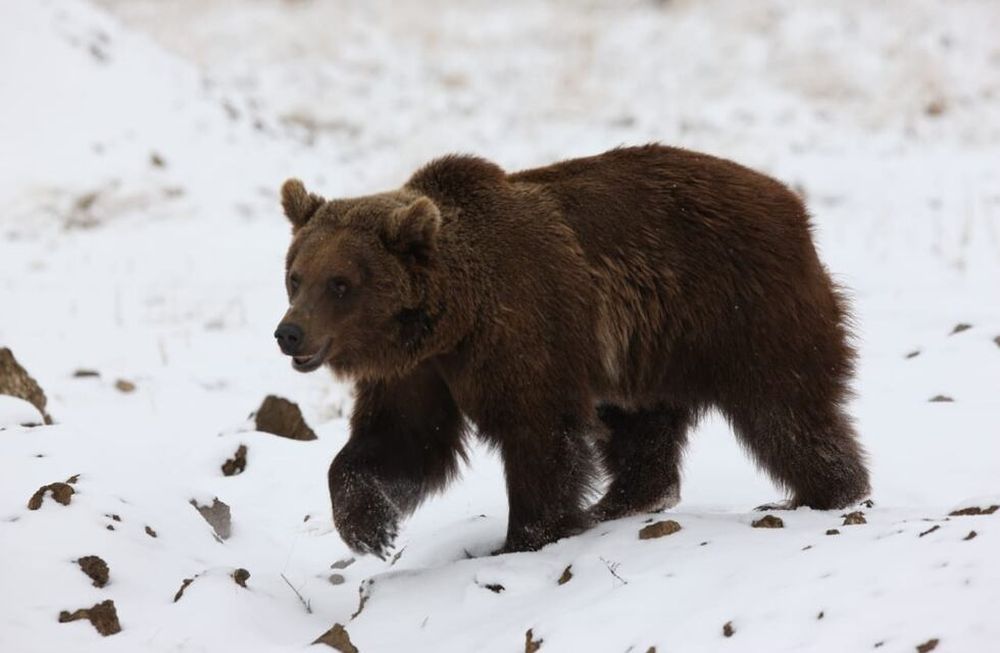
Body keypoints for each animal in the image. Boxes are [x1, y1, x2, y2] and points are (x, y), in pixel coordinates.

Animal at [274, 144, 870, 557]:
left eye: (340, 283)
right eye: (295, 276)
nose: (289, 333)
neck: (454, 316)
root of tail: (792, 205)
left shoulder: (523, 328)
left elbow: (540, 433)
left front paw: (527, 535)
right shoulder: (418, 371)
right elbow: (400, 440)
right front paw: (370, 529)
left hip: (741, 309)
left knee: (784, 408)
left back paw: (824, 493)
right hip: (645, 350)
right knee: (641, 425)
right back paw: (621, 501)